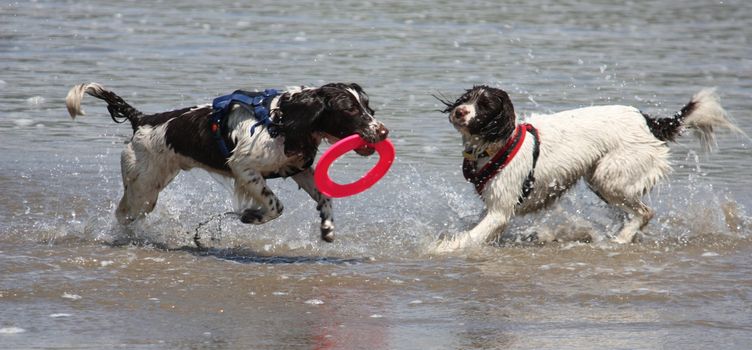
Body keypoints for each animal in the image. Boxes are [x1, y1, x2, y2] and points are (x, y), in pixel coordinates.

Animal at [64, 83, 388, 245]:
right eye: (349, 110)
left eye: (368, 107)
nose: (384, 132)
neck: (282, 120)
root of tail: (142, 119)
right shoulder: (244, 168)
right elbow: (275, 206)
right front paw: (250, 216)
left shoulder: (298, 168)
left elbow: (325, 198)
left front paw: (327, 228)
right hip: (143, 190)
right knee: (123, 215)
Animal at [434, 87, 740, 252]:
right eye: (466, 97)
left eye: (485, 106)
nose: (459, 111)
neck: (498, 145)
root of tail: (648, 121)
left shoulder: (500, 210)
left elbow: (469, 236)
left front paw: (441, 249)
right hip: (601, 179)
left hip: (609, 177)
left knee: (645, 212)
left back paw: (621, 239)